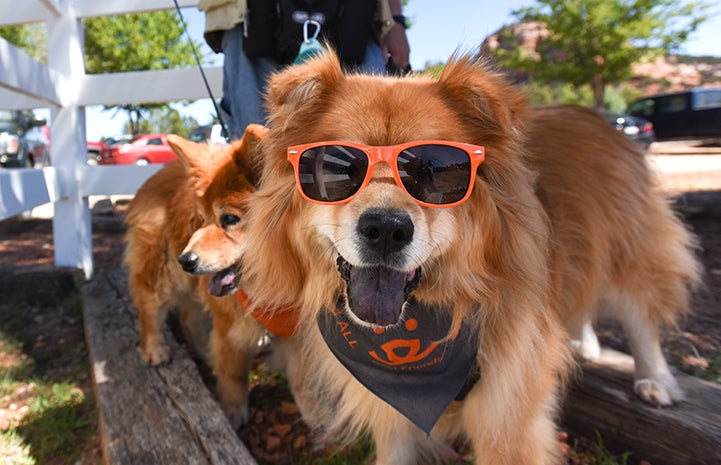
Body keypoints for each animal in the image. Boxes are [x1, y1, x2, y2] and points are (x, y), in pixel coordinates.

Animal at [124, 124, 268, 428]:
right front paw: (232, 415)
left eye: (230, 219)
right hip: (161, 274)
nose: (185, 261)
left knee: (189, 319)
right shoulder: (230, 324)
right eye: (201, 219)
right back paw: (155, 349)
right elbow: (233, 374)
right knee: (148, 308)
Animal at [240, 50, 696, 464]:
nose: (386, 229)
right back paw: (584, 343)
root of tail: (598, 117)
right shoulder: (392, 415)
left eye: (432, 169)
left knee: (639, 314)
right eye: (338, 167)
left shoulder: (507, 416)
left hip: (628, 247)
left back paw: (655, 379)